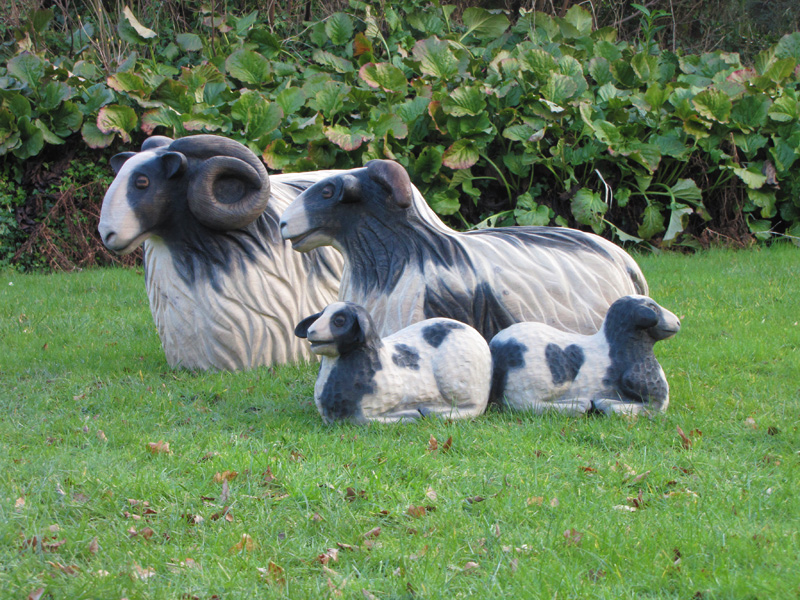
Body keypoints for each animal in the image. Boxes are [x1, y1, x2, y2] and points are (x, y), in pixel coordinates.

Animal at [294, 301, 492, 423]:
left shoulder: (376, 406)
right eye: (321, 314)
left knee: (476, 407)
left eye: (339, 320)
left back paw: (435, 412)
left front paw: (410, 415)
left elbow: (366, 420)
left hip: (461, 382)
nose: (311, 331)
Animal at [489, 295, 680, 416]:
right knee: (524, 404)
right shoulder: (658, 400)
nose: (678, 322)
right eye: (653, 307)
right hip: (539, 380)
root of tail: (497, 348)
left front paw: (604, 404)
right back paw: (575, 406)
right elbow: (648, 408)